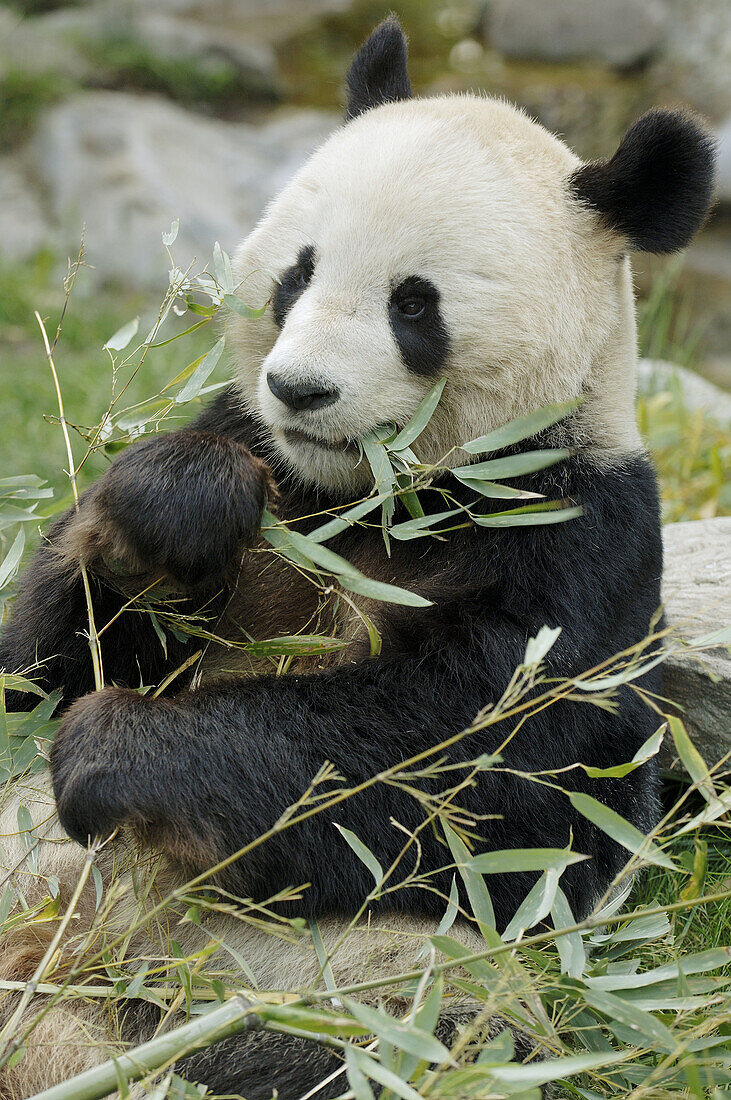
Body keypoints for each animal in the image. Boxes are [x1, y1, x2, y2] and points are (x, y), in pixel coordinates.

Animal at [0, 17, 716, 1100]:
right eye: (296, 273)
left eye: (411, 305)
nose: (299, 389)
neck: (372, 496)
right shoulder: (256, 449)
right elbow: (36, 661)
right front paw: (174, 513)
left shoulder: (579, 542)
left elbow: (469, 768)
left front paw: (115, 751)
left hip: (306, 967)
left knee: (397, 1025)